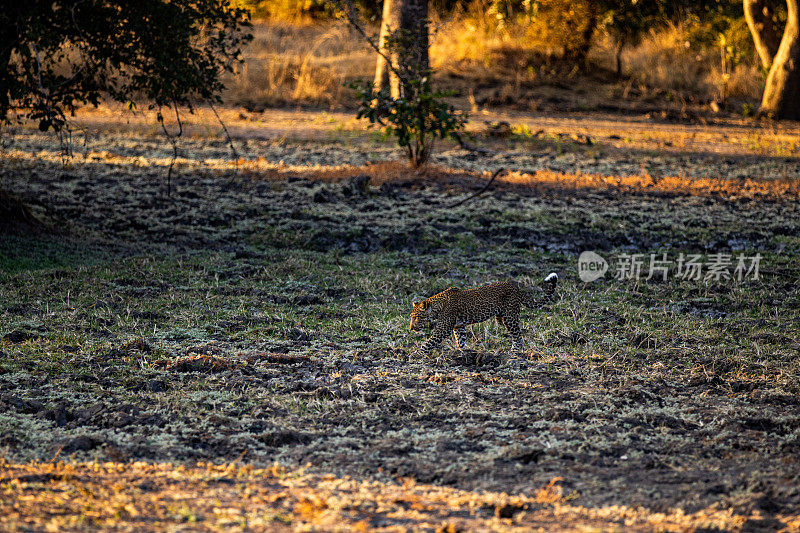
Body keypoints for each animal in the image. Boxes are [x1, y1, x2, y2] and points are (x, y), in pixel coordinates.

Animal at [410, 272, 560, 356]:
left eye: (416, 317)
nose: (411, 328)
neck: (438, 306)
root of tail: (517, 288)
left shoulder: (443, 328)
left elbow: (428, 342)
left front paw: (416, 354)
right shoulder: (459, 326)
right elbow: (461, 340)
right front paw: (461, 352)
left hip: (510, 317)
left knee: (518, 334)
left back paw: (515, 351)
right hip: (502, 318)